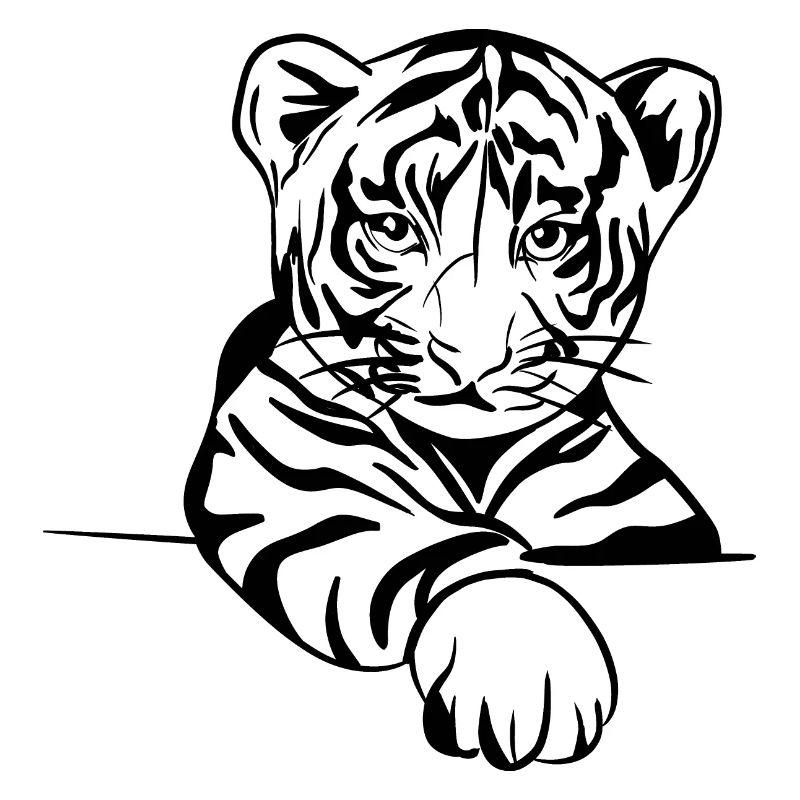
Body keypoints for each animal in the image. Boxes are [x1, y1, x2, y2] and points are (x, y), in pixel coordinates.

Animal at [185, 30, 725, 770]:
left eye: (549, 236)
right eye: (392, 227)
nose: (470, 354)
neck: (470, 456)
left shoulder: (631, 524)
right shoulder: (304, 491)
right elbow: (451, 551)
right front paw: (525, 664)